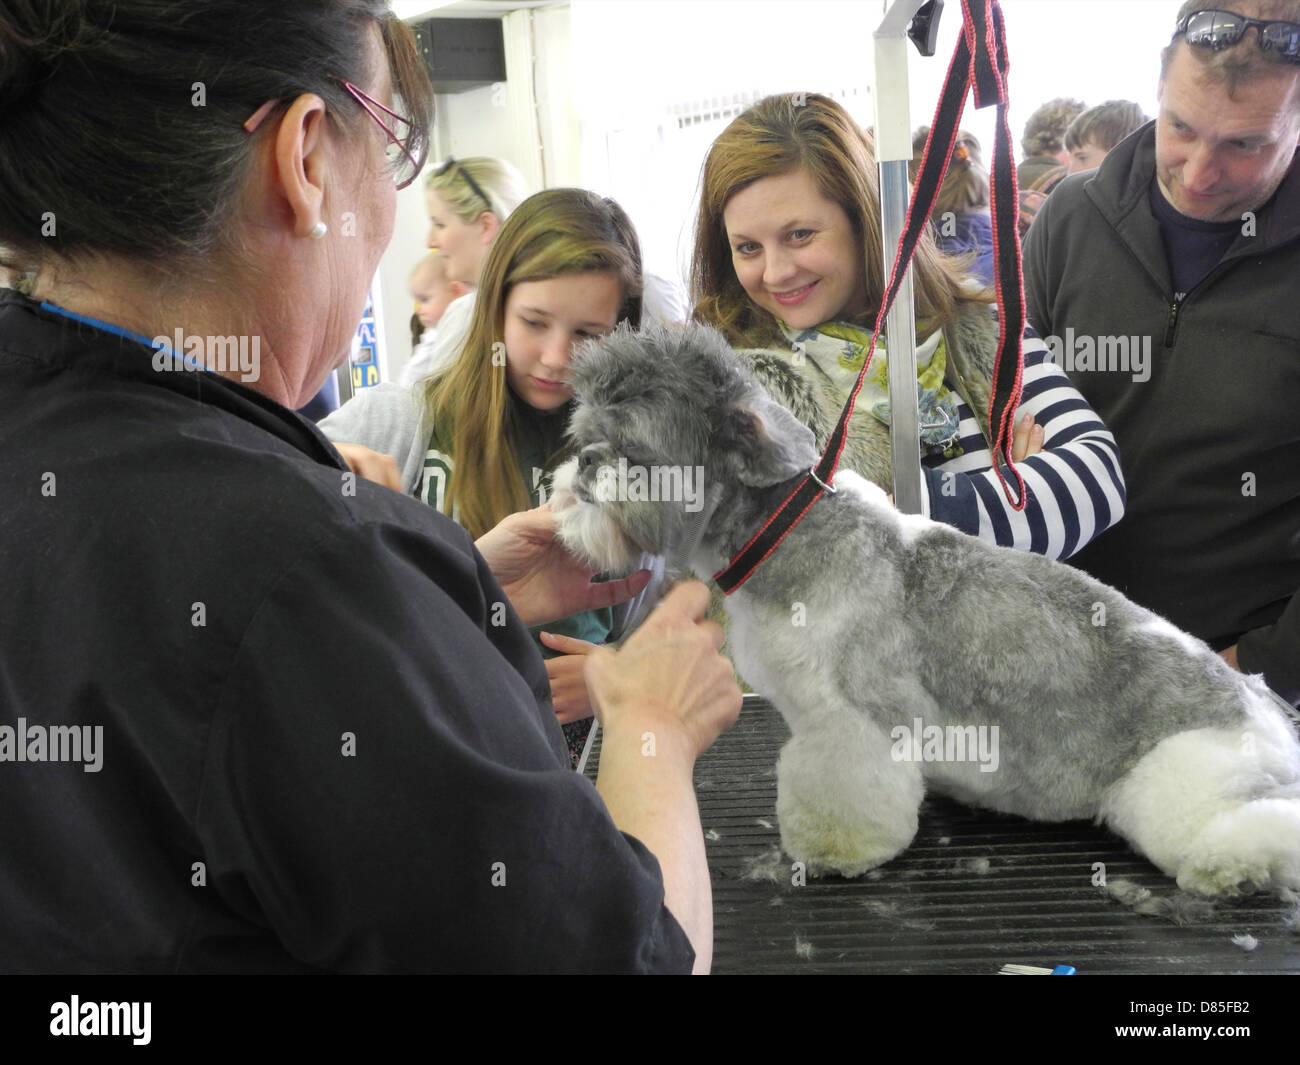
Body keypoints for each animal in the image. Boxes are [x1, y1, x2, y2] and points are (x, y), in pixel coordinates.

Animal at [553, 321, 1300, 894]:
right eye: (584, 434)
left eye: (636, 450)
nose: (586, 464)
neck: (788, 533)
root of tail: (1264, 712)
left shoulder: (850, 722)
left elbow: (843, 791)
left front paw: (832, 851)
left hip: (1179, 780)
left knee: (1250, 827)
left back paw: (1238, 866)